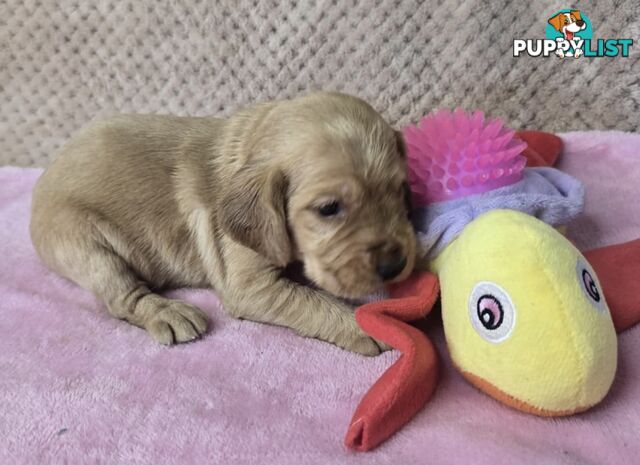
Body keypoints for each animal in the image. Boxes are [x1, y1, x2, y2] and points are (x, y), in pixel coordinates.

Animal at [31, 92, 416, 358]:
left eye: (399, 190)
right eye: (329, 208)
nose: (395, 265)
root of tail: (48, 173)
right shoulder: (249, 285)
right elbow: (312, 302)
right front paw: (362, 324)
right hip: (83, 241)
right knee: (121, 295)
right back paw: (168, 311)